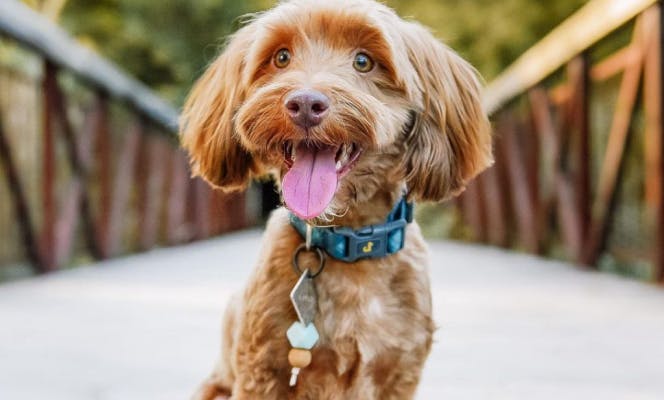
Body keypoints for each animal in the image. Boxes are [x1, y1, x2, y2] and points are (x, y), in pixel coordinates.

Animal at [179, 1, 490, 398]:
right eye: (281, 57)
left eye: (363, 61)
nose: (305, 103)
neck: (347, 243)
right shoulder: (261, 370)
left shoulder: (400, 372)